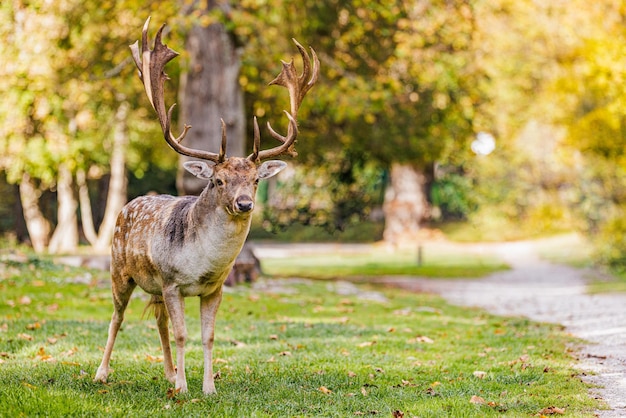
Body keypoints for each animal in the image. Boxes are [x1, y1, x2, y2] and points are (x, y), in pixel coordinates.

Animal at [95, 16, 320, 396]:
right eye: (218, 181)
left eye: (255, 180)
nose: (244, 204)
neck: (202, 265)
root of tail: (129, 205)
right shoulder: (172, 282)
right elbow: (183, 334)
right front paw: (185, 389)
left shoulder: (214, 288)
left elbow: (208, 336)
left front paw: (207, 387)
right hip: (118, 270)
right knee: (116, 317)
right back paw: (102, 373)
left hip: (153, 286)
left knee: (157, 320)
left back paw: (168, 373)